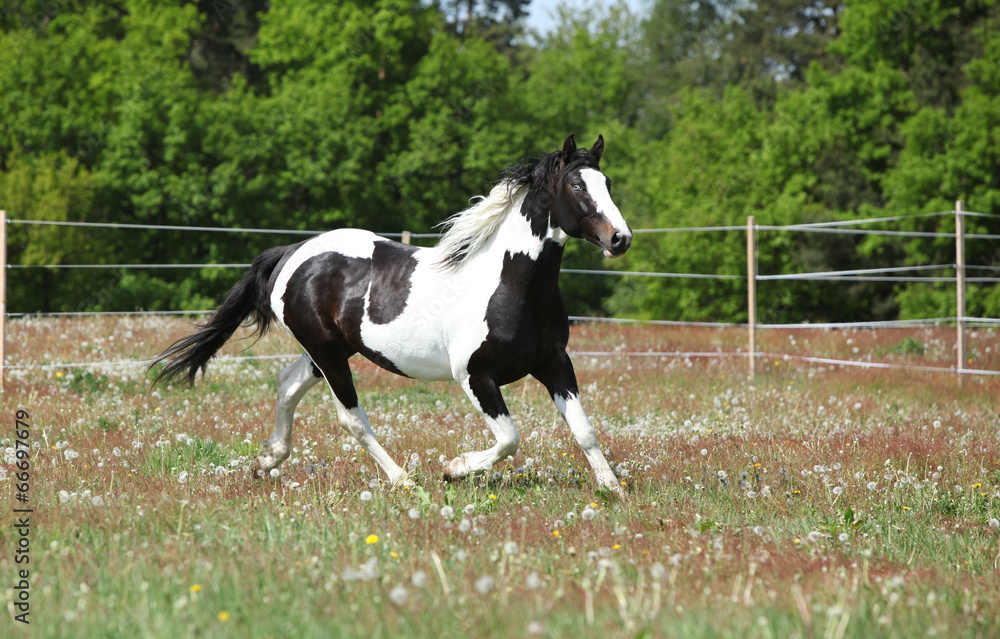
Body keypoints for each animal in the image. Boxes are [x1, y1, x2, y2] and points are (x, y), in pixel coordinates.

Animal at [150, 134, 632, 496]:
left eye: (608, 182)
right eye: (577, 186)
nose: (620, 238)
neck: (509, 284)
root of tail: (293, 252)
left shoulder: (553, 363)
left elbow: (583, 430)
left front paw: (612, 489)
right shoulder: (475, 376)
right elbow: (510, 439)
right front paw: (453, 469)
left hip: (327, 352)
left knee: (287, 385)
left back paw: (267, 461)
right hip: (328, 354)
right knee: (351, 417)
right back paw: (403, 479)